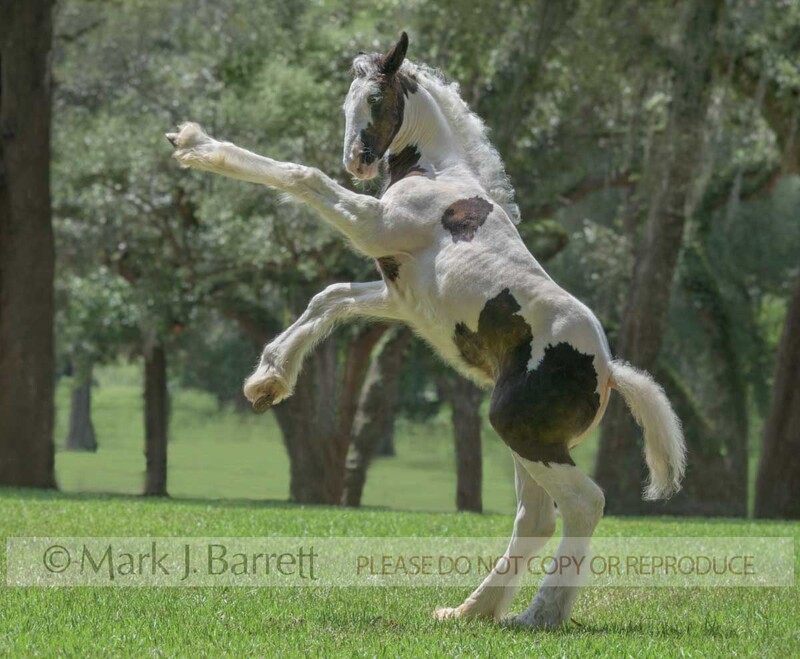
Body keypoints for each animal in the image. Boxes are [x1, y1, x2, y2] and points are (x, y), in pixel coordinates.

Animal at [166, 31, 686, 629]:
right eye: (345, 101)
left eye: (375, 98)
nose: (358, 162)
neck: (440, 175)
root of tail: (607, 372)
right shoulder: (399, 296)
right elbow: (330, 298)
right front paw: (267, 381)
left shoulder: (373, 227)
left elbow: (301, 176)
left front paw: (194, 144)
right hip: (526, 439)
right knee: (535, 518)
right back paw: (471, 611)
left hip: (525, 435)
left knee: (584, 505)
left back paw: (539, 615)